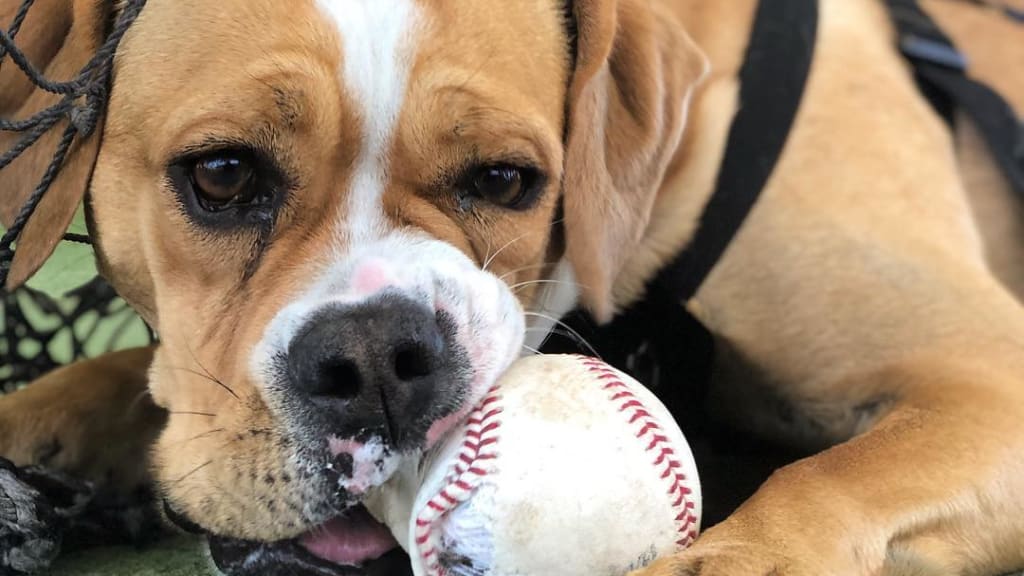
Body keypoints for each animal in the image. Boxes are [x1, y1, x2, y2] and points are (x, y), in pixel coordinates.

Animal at [2, 0, 1024, 569]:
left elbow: (825, 481)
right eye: (220, 174)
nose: (380, 357)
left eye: (503, 180)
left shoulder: (979, 373)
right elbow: (129, 378)